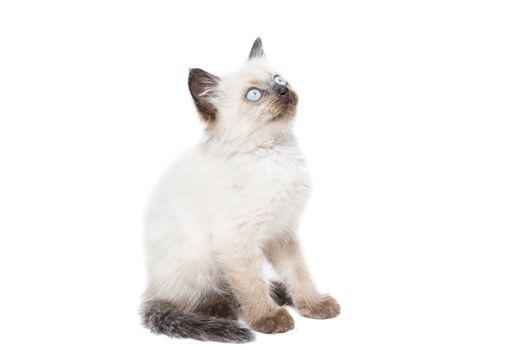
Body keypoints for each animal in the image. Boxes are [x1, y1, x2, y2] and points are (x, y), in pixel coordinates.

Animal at [140, 37, 340, 342]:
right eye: (254, 95)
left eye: (278, 79)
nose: (283, 90)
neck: (274, 153)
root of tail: (150, 287)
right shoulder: (236, 241)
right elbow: (251, 284)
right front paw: (268, 318)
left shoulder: (282, 230)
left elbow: (298, 273)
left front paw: (313, 305)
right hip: (196, 262)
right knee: (189, 298)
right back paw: (219, 307)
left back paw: (276, 295)